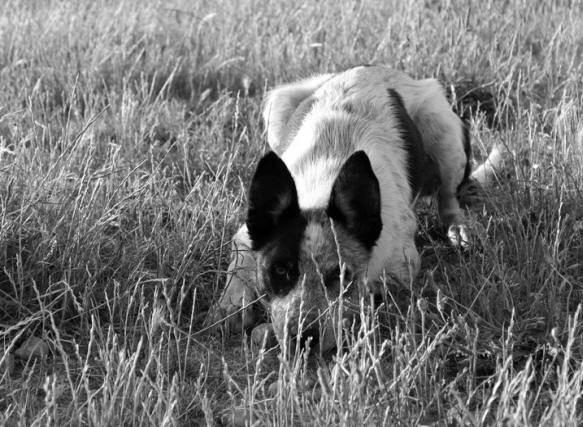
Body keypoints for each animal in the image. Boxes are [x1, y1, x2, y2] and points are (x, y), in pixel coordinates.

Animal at [208, 66, 496, 354]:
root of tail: (373, 67)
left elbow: (363, 299)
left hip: (441, 128)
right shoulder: (246, 236)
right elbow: (239, 265)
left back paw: (461, 229)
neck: (322, 190)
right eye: (279, 270)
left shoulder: (400, 270)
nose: (304, 337)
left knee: (448, 198)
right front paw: (230, 306)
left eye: (342, 274)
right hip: (278, 104)